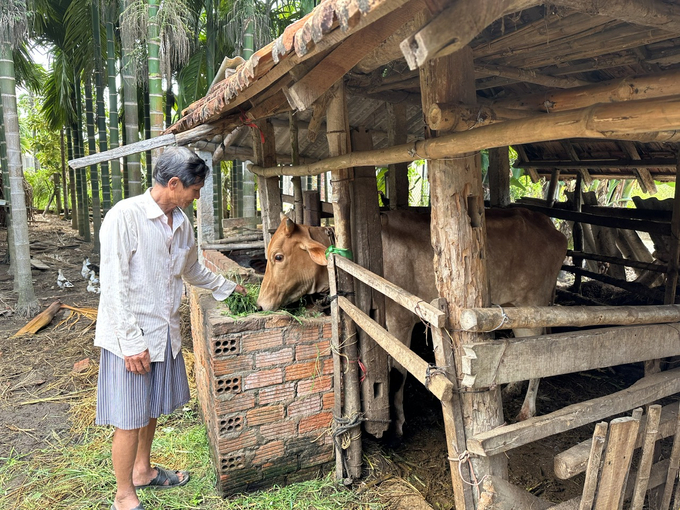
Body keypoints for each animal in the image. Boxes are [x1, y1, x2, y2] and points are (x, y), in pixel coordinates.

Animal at [258, 206, 564, 434]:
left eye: (278, 256)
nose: (261, 303)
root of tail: (553, 229)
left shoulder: (400, 320)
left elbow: (398, 374)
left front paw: (397, 426)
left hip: (531, 306)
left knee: (540, 353)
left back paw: (527, 411)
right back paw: (512, 387)